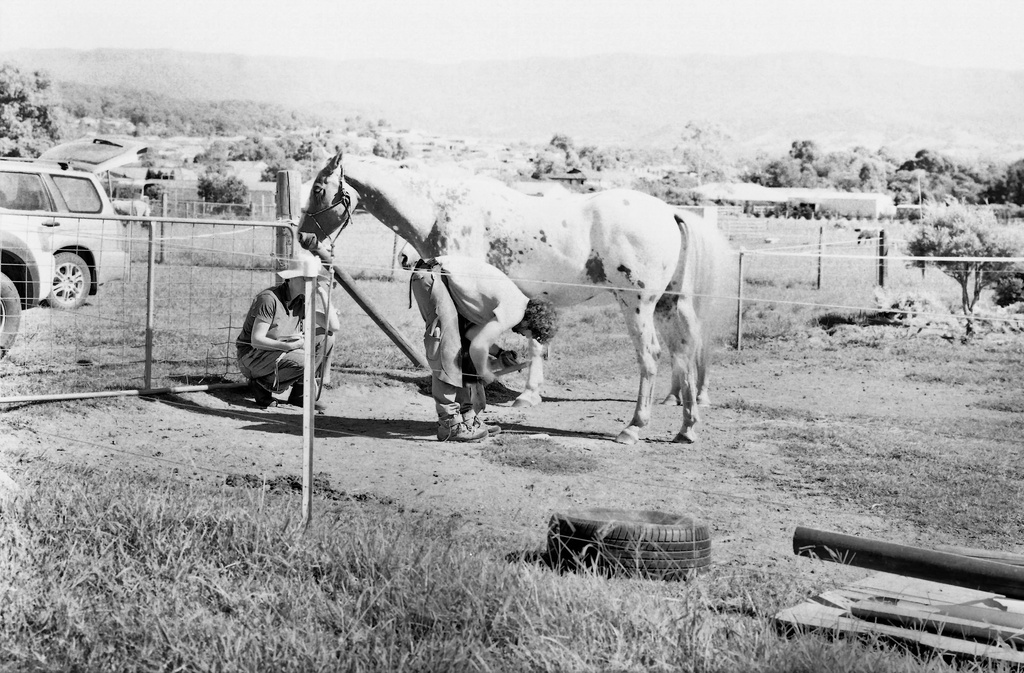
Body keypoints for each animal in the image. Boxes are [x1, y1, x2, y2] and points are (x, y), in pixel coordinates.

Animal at [299, 153, 733, 446]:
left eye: (319, 189)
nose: (304, 237)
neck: (441, 210)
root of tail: (670, 212)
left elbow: (464, 355)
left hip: (638, 305)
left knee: (652, 357)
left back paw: (634, 427)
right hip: (669, 305)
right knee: (684, 351)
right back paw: (687, 427)